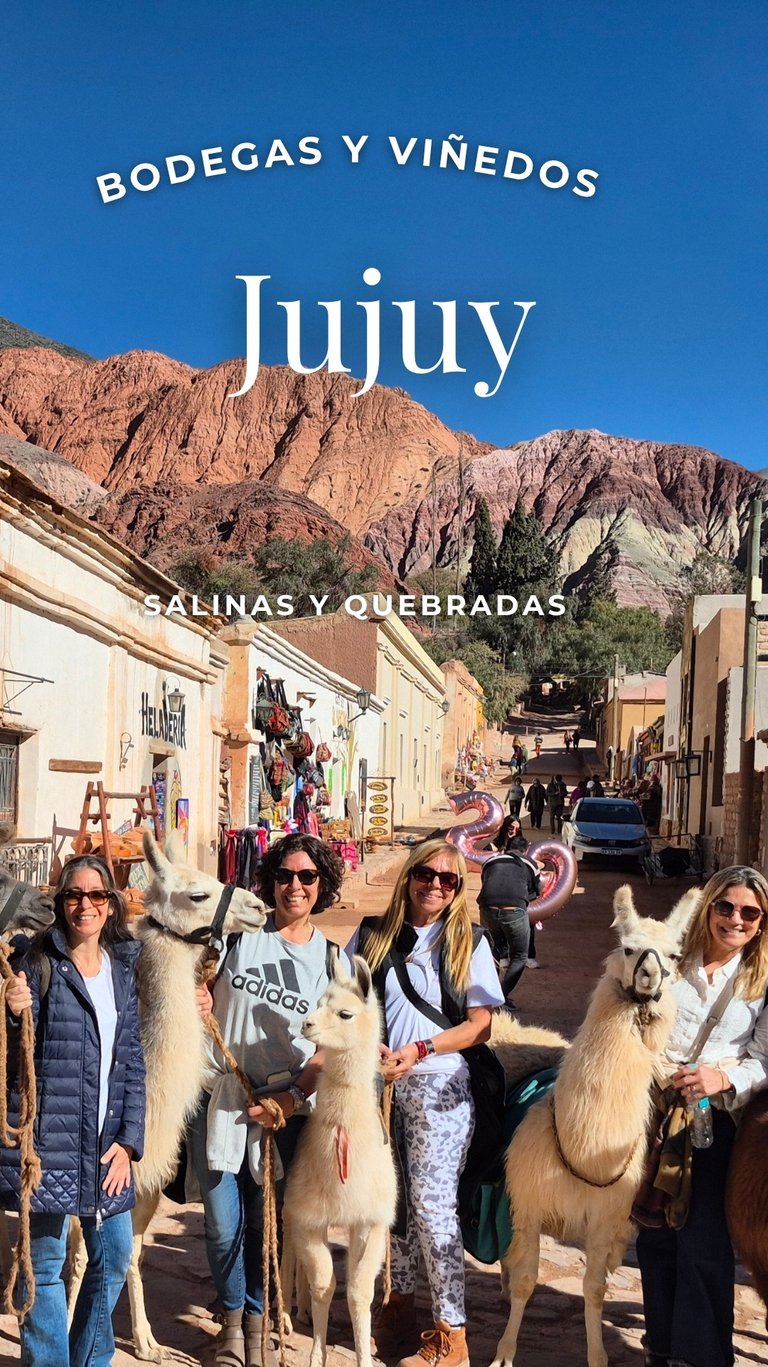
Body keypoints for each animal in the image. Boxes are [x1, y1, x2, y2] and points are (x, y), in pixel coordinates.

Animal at [67, 831, 267, 1362]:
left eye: (215, 877)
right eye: (196, 893)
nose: (259, 906)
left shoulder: (142, 1180)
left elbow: (129, 1254)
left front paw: (147, 1342)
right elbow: (79, 1259)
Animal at [282, 954, 397, 1367]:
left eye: (345, 1012)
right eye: (318, 1001)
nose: (307, 1024)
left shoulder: (371, 1221)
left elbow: (358, 1292)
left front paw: (364, 1357)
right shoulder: (308, 1217)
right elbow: (324, 1284)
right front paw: (316, 1355)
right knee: (286, 1252)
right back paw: (285, 1313)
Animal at [489, 883, 700, 1367]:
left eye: (675, 955)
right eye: (628, 947)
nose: (651, 978)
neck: (584, 1147)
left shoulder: (606, 1219)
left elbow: (595, 1288)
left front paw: (598, 1355)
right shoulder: (529, 1202)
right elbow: (528, 1280)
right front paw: (504, 1353)